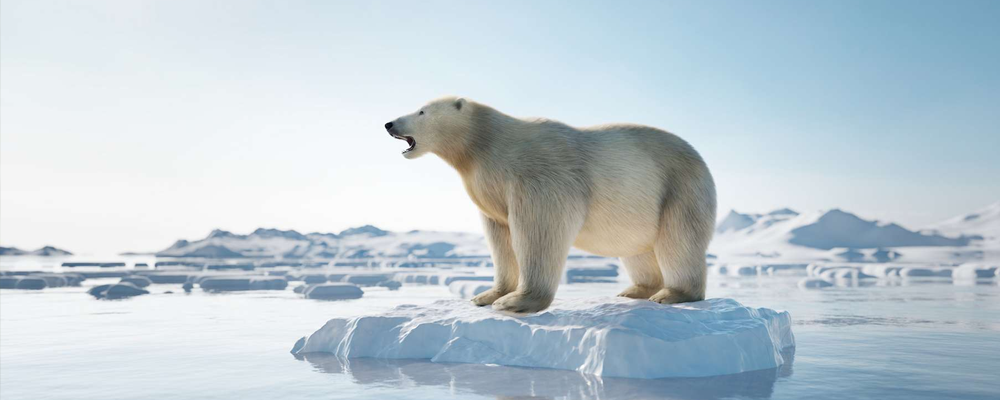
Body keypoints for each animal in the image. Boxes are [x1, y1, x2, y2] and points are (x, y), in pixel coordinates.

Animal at [384, 97, 720, 312]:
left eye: (421, 111)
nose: (389, 123)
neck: (485, 144)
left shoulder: (538, 174)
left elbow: (539, 229)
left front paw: (515, 302)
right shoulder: (490, 189)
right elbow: (500, 237)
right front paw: (487, 295)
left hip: (679, 188)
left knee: (678, 241)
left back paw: (671, 294)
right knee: (637, 249)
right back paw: (634, 290)